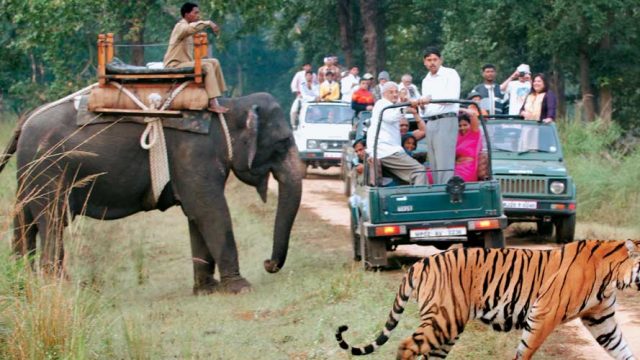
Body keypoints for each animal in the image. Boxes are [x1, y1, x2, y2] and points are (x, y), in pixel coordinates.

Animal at [0, 91, 304, 294]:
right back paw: (60, 287)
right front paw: (241, 288)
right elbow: (210, 210)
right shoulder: (195, 154)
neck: (228, 106)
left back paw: (25, 282)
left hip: (29, 175)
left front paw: (207, 290)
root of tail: (25, 121)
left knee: (24, 222)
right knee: (52, 220)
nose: (268, 263)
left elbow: (196, 215)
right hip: (49, 171)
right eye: (283, 142)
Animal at [336, 238, 640, 358]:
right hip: (445, 318)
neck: (614, 276)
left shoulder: (602, 320)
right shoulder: (544, 314)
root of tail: (420, 263)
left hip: (447, 325)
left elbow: (621, 348)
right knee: (406, 345)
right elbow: (526, 350)